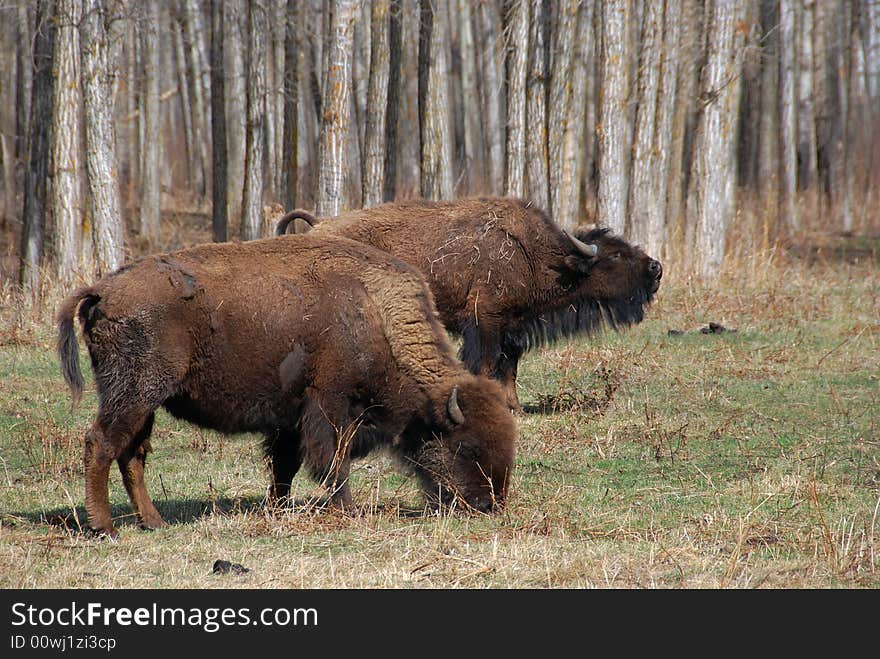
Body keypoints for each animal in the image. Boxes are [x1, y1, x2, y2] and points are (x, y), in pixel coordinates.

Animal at [58, 235, 516, 540]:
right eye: (466, 447)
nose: (488, 505)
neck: (375, 315)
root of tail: (101, 291)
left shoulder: (290, 422)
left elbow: (284, 467)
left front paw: (277, 509)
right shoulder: (329, 408)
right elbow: (332, 462)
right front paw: (348, 511)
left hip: (145, 402)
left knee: (132, 454)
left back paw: (153, 522)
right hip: (134, 394)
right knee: (101, 444)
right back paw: (104, 528)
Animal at [278, 196, 664, 412]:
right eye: (615, 255)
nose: (656, 268)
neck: (539, 256)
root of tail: (319, 226)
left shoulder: (513, 327)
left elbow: (510, 367)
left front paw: (514, 407)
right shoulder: (485, 322)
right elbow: (488, 364)